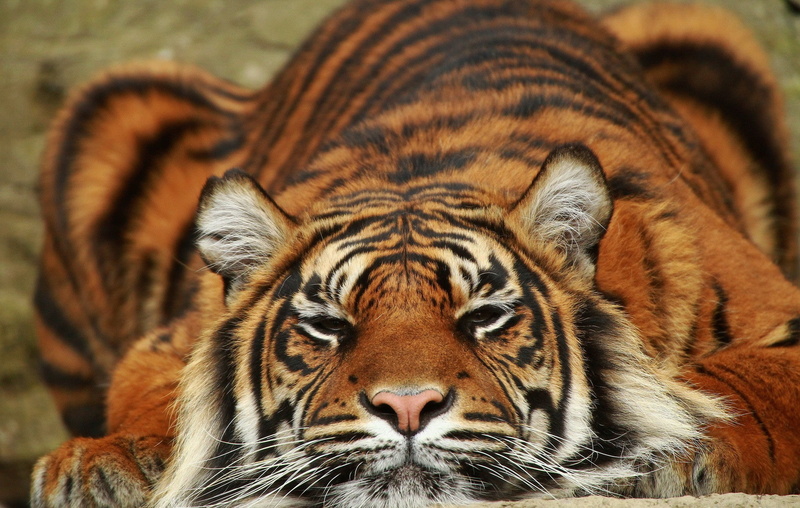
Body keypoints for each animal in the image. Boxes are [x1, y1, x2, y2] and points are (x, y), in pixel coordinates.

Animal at [30, 0, 800, 506]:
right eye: (328, 326)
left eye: (484, 317)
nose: (406, 408)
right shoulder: (169, 341)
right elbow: (161, 396)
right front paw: (110, 465)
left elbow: (742, 383)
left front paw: (676, 441)